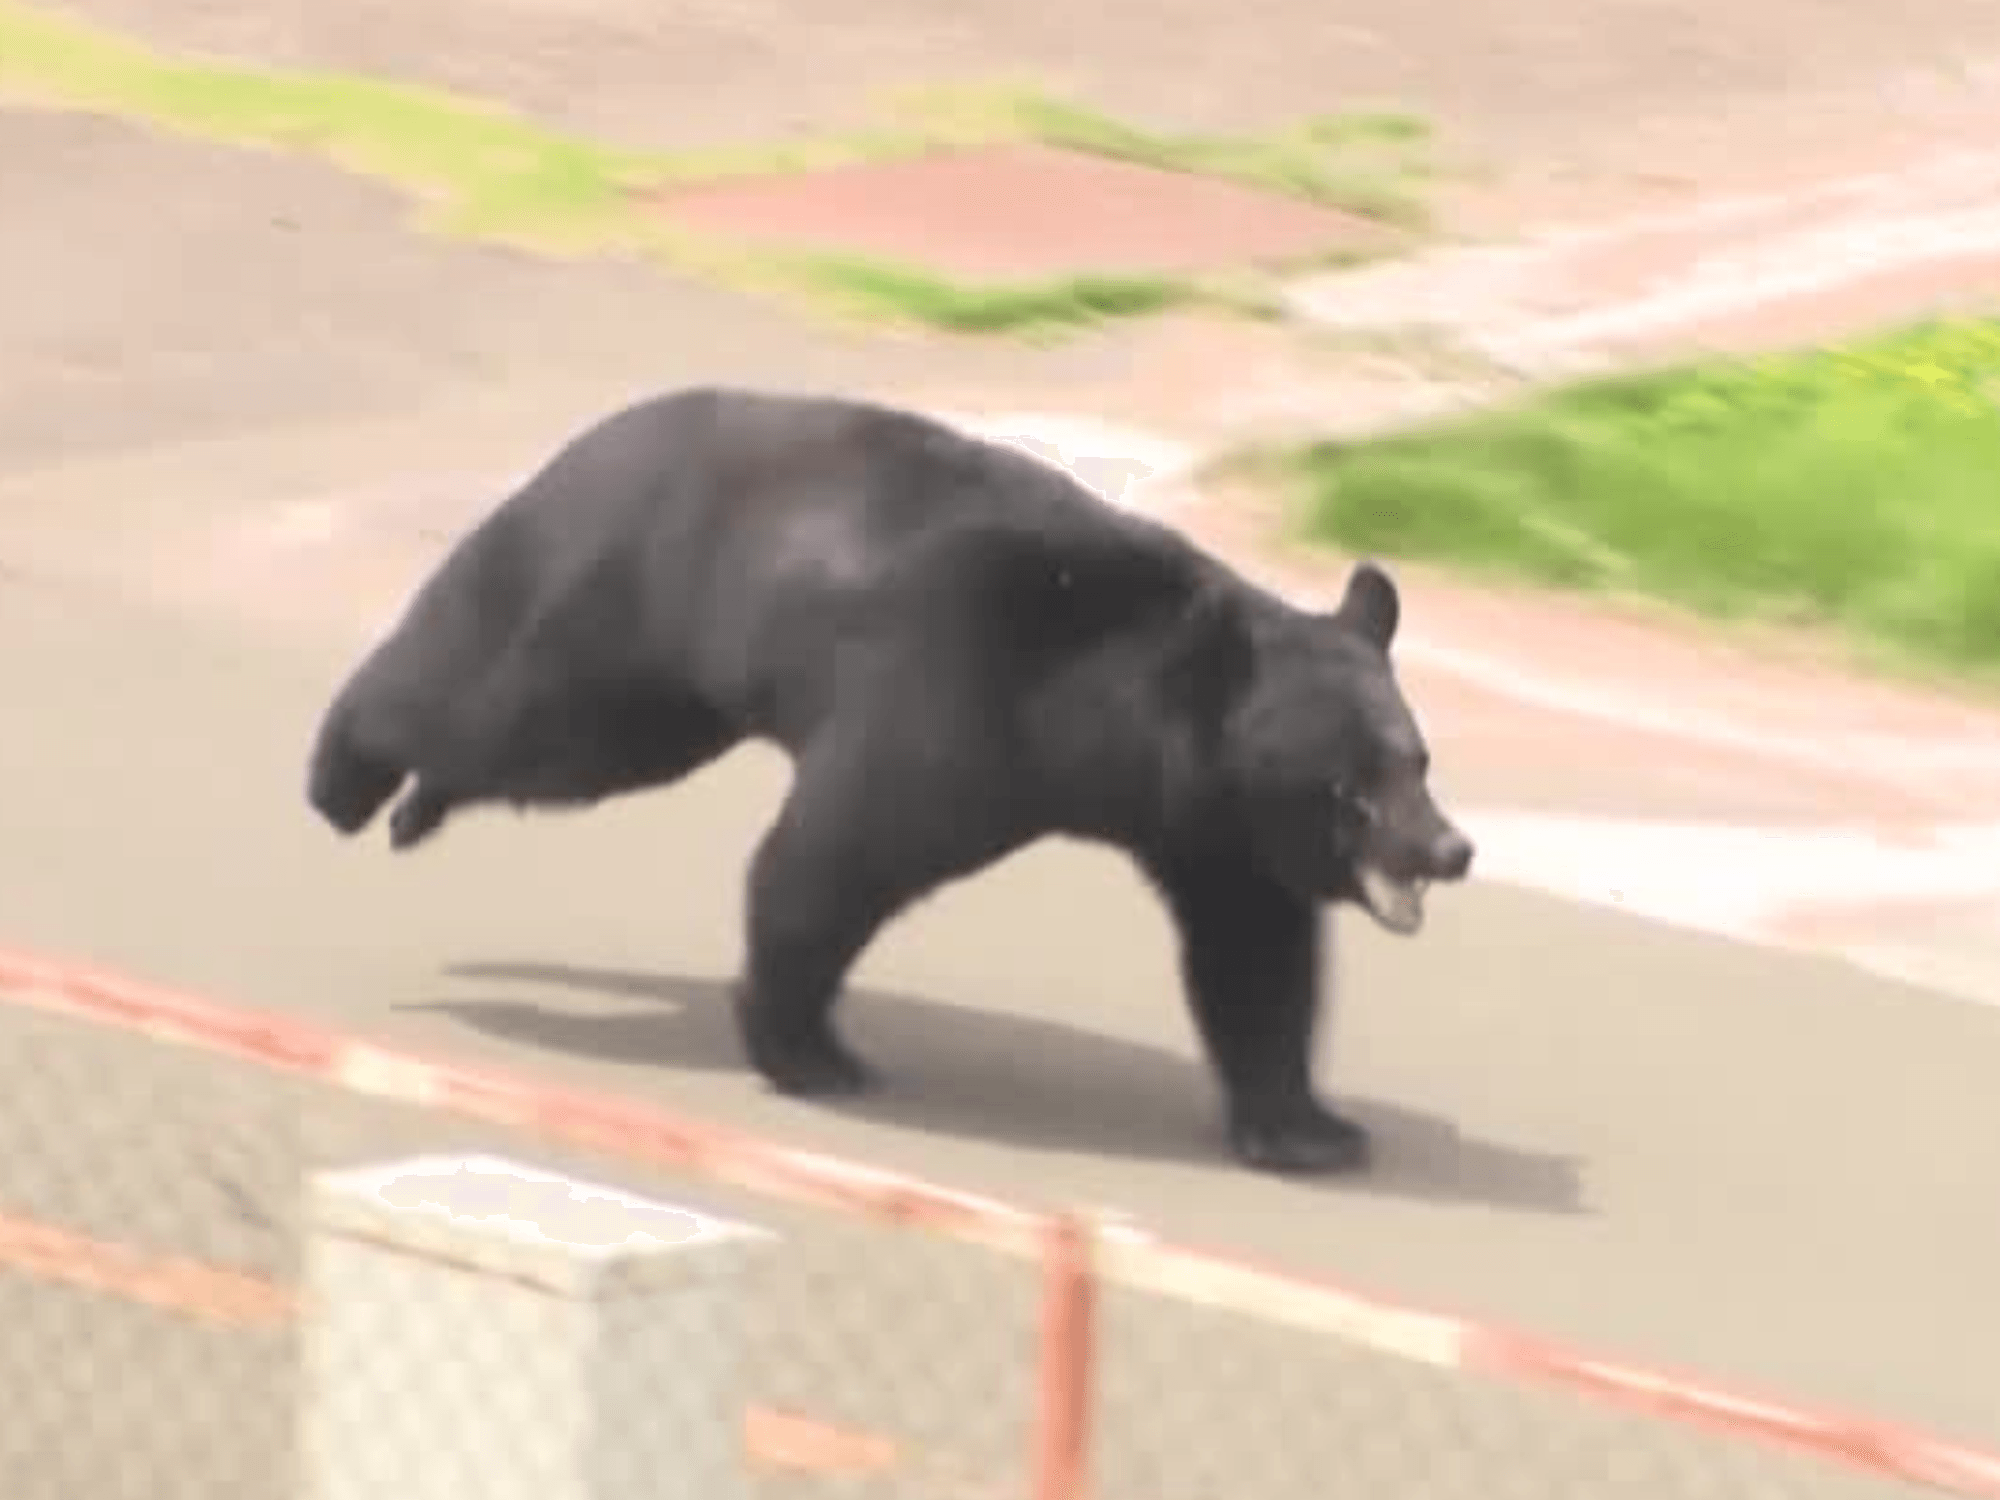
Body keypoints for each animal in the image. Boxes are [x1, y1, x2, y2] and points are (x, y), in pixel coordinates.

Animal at [306, 386, 1475, 1175]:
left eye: (1416, 758)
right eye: (1355, 781)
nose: (1449, 849)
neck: (1118, 714)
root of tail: (589, 437)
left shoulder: (1213, 827)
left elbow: (1254, 961)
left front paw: (1310, 1126)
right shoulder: (961, 694)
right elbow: (832, 861)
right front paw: (810, 1051)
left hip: (665, 691)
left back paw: (418, 807)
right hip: (621, 612)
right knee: (502, 709)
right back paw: (345, 775)